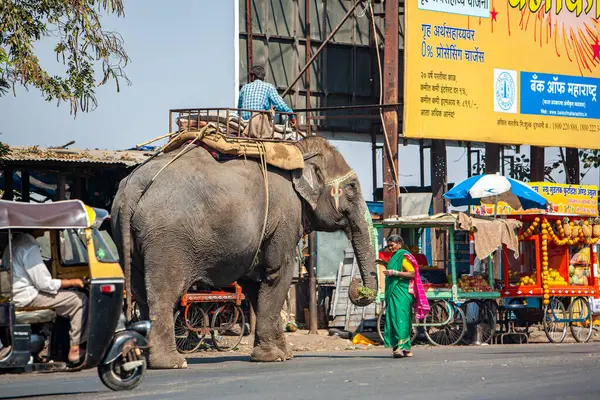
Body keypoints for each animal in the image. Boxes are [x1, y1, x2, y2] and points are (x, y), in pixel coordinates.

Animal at [110, 137, 378, 368]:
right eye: (352, 187)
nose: (357, 287)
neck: (296, 152)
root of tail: (132, 187)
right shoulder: (285, 215)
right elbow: (277, 275)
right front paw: (272, 358)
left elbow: (255, 284)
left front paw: (284, 355)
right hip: (168, 239)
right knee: (163, 293)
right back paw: (173, 363)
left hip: (127, 238)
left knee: (140, 294)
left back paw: (147, 361)